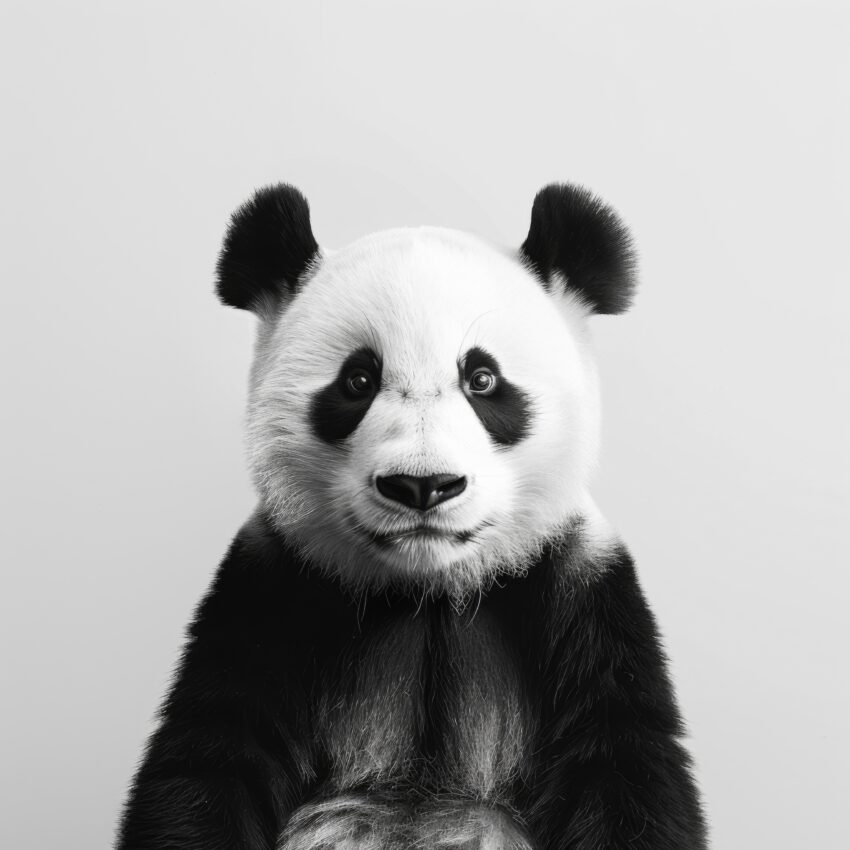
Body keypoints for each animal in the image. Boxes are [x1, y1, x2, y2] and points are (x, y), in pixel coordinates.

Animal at [117, 184, 707, 850]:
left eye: (483, 379)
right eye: (357, 380)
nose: (423, 485)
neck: (429, 589)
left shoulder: (583, 591)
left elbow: (622, 764)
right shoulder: (270, 587)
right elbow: (210, 756)